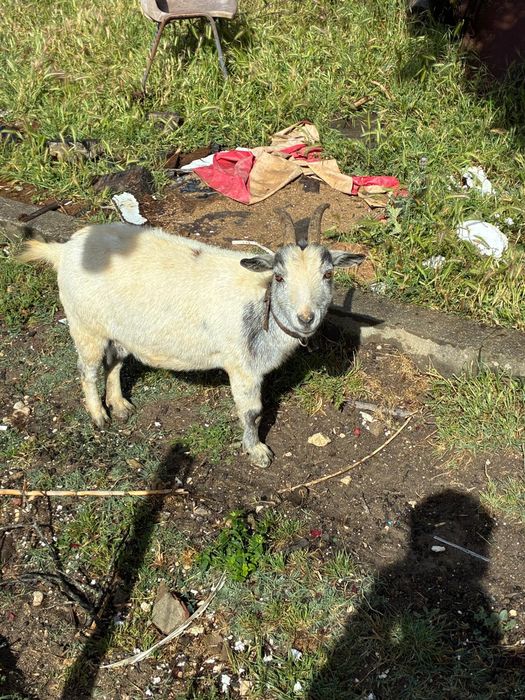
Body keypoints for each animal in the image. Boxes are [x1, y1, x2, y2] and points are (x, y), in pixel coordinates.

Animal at [19, 204, 364, 467]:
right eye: (279, 277)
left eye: (328, 274)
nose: (306, 318)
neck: (261, 299)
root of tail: (64, 249)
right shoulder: (242, 367)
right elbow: (252, 412)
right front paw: (257, 452)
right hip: (85, 324)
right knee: (88, 369)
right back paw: (99, 415)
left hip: (120, 329)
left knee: (114, 361)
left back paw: (120, 405)